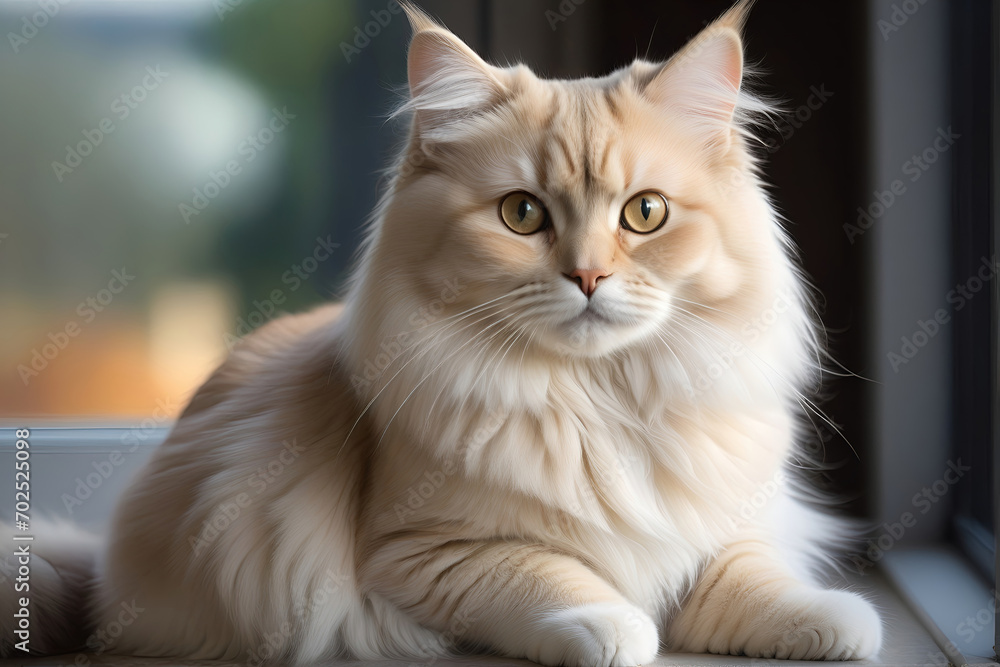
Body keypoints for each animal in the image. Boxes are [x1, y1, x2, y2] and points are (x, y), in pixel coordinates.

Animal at [1, 2, 884, 664]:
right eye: (522, 214)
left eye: (645, 213)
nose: (588, 276)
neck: (604, 401)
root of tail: (100, 567)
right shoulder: (427, 553)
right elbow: (568, 584)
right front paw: (613, 628)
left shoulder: (728, 525)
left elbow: (755, 578)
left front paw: (834, 619)